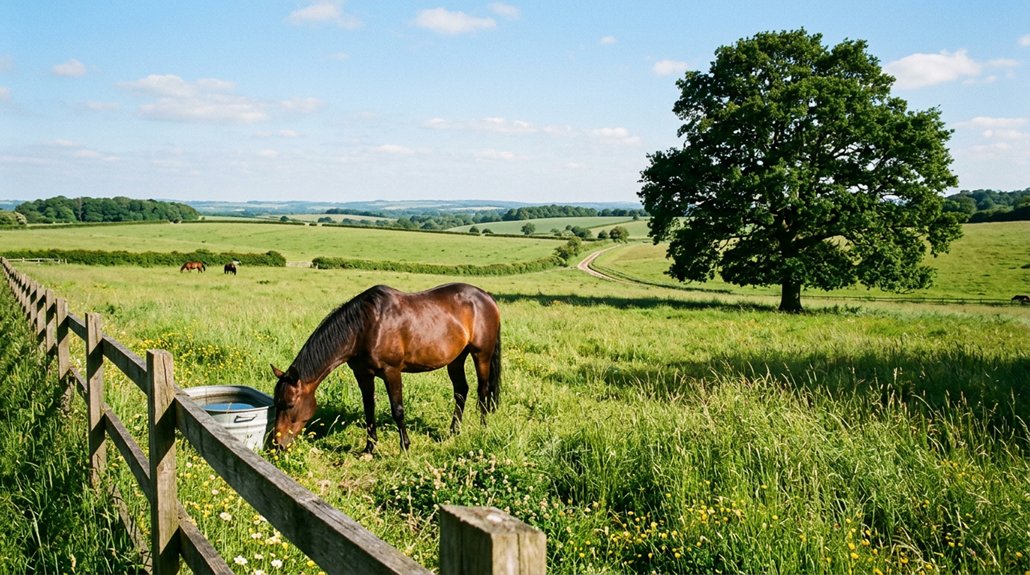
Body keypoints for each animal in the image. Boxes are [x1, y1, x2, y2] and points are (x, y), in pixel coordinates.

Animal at [270, 283, 501, 454]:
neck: (365, 326)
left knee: (483, 391)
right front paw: (369, 448)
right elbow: (368, 409)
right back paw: (453, 432)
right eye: (276, 403)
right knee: (461, 391)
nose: (277, 445)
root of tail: (486, 297)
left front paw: (405, 447)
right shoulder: (362, 374)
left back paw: (483, 428)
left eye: (290, 404)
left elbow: (397, 410)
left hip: (481, 354)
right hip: (456, 358)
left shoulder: (392, 372)